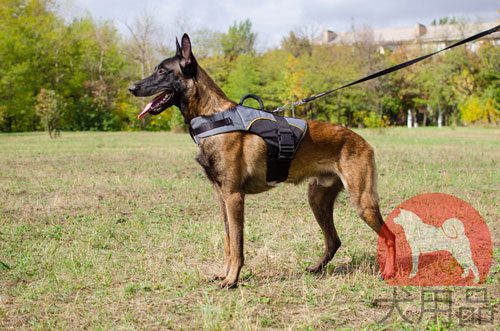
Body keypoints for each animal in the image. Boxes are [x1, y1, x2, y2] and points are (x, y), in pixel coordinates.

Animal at [131, 33, 396, 288]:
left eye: (162, 71)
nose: (132, 87)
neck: (213, 116)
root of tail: (362, 140)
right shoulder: (221, 197)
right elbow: (228, 241)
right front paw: (224, 273)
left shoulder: (234, 197)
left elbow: (237, 244)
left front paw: (232, 280)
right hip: (317, 199)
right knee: (334, 240)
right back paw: (316, 269)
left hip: (361, 201)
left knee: (389, 235)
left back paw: (390, 272)